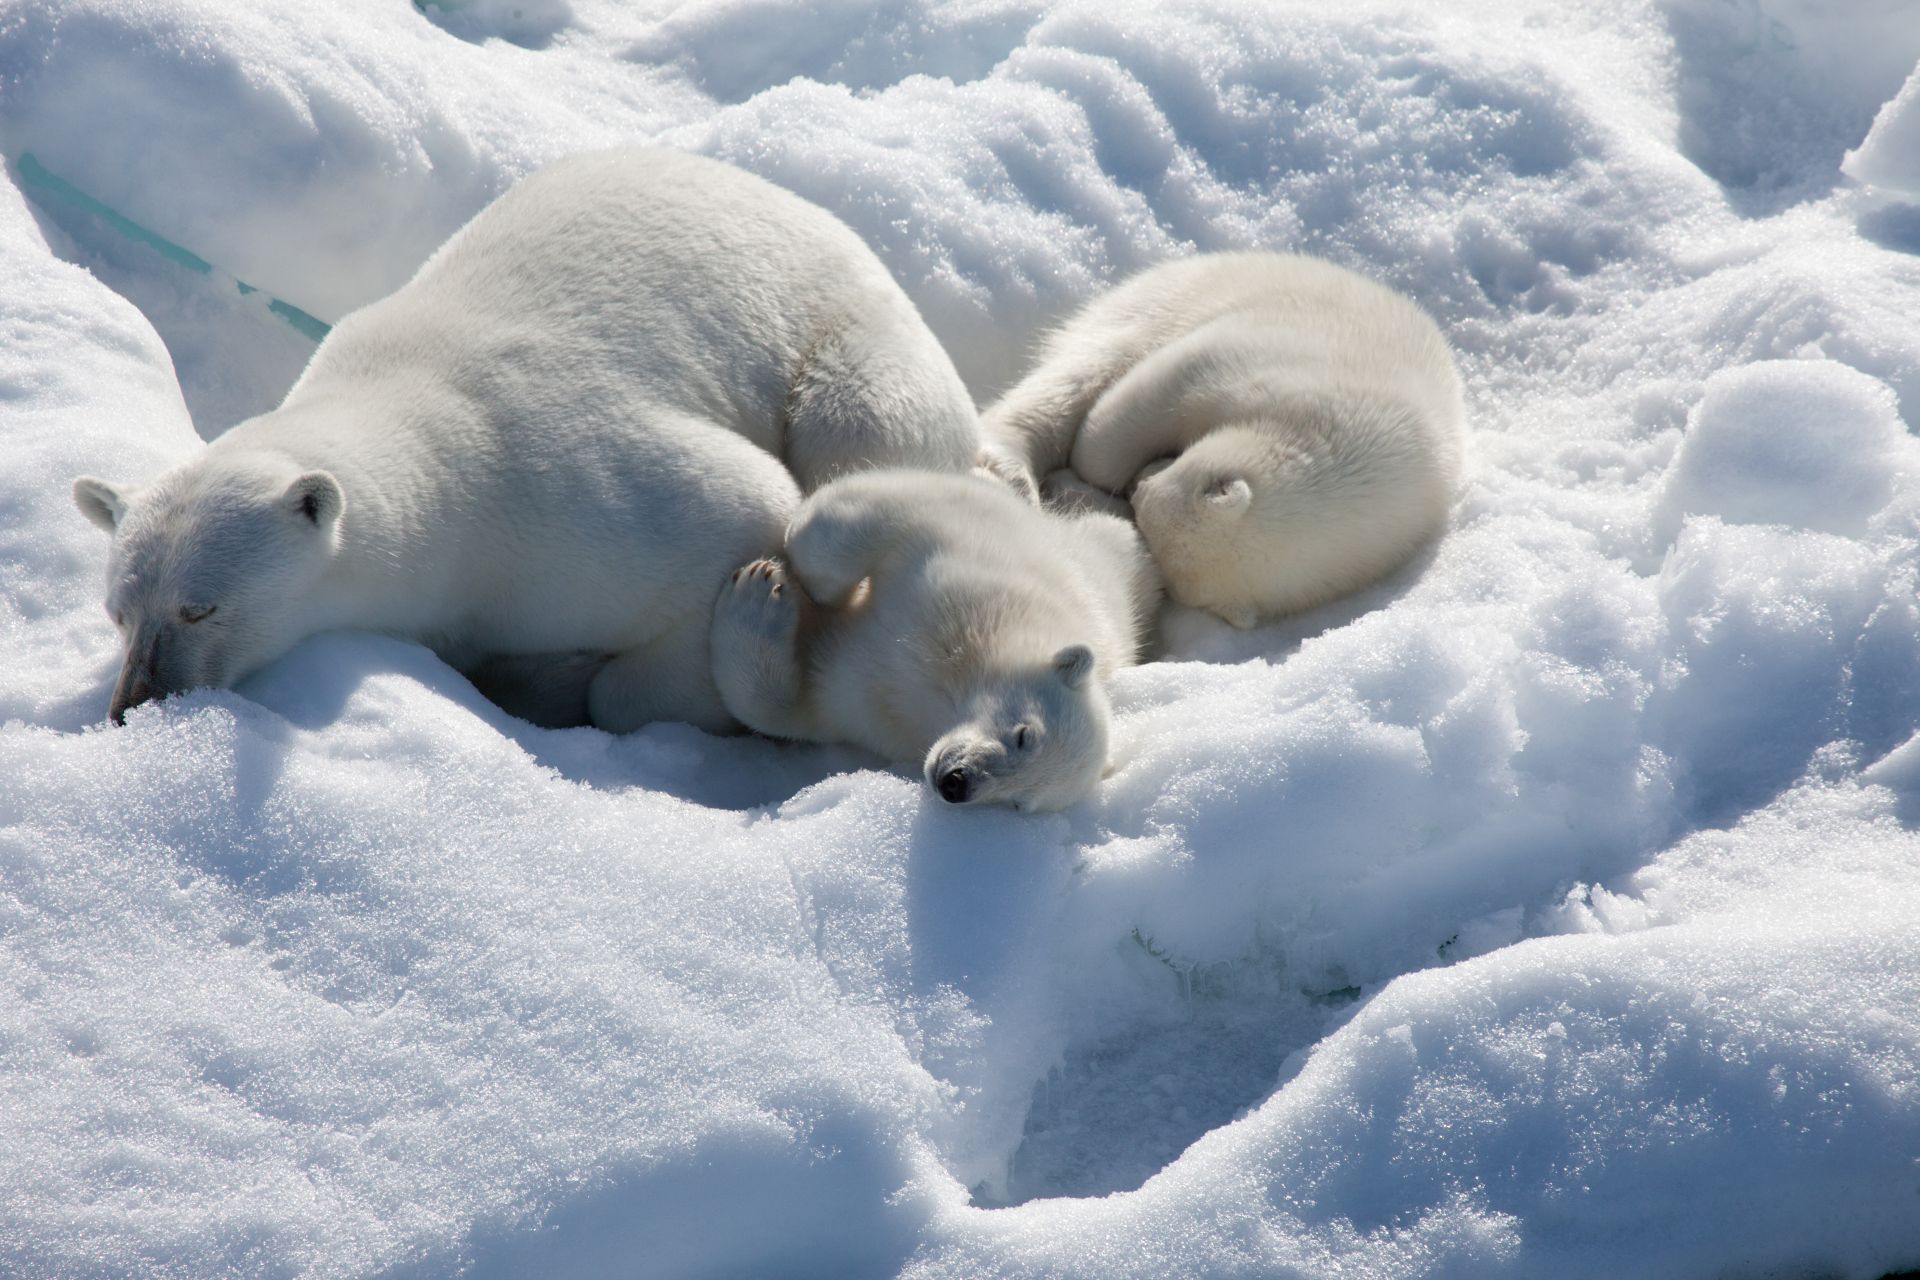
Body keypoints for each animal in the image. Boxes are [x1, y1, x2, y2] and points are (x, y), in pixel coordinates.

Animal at [71, 144, 975, 725]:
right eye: (118, 612)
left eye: (199, 608)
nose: (132, 703)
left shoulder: (569, 502)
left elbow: (747, 511)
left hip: (847, 344)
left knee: (862, 440)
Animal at [710, 470, 1144, 809]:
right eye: (1025, 735)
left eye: (1017, 802)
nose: (957, 783)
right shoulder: (964, 556)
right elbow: (882, 515)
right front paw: (786, 584)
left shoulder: (875, 711)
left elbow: (793, 707)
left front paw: (756, 596)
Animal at [983, 251, 1459, 629]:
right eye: (1145, 497)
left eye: (1142, 511)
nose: (1138, 484)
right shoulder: (1277, 364)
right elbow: (1158, 390)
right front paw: (1083, 474)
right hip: (1156, 302)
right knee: (1084, 370)